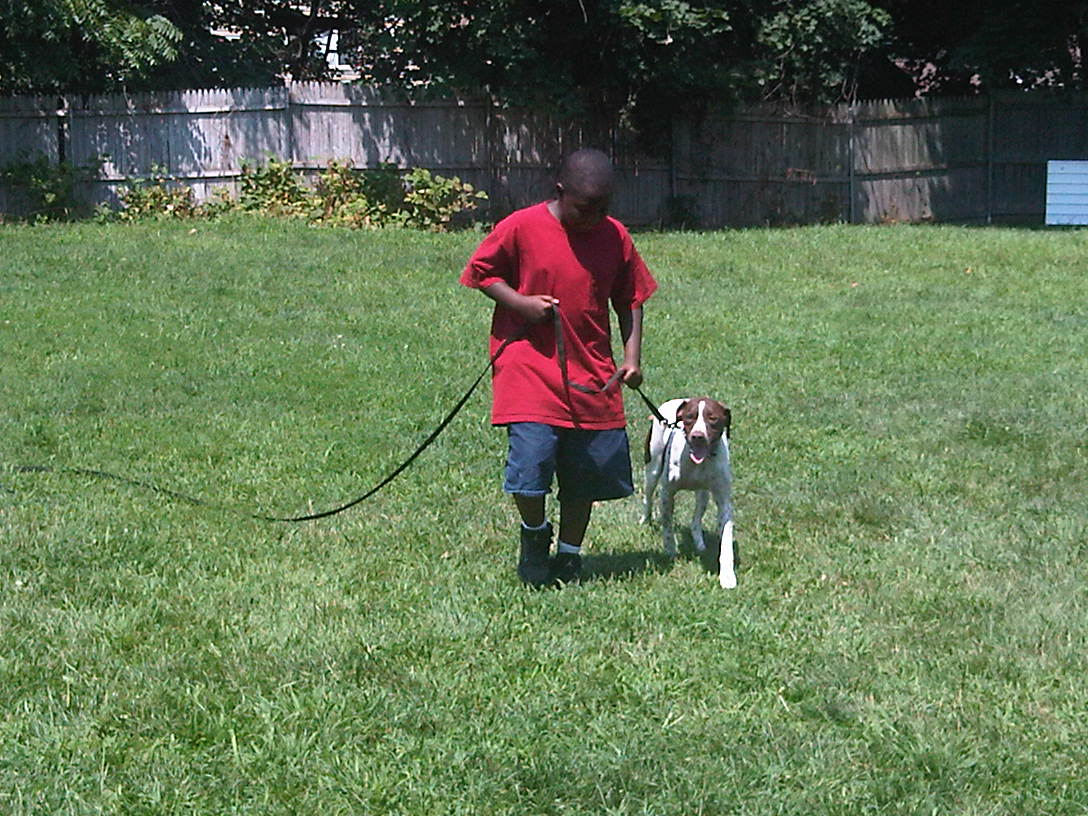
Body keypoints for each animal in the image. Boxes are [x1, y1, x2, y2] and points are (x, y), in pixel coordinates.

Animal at [639, 398, 735, 583]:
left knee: (696, 519)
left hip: (703, 493)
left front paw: (727, 576)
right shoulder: (667, 494)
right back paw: (645, 519)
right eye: (689, 417)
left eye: (713, 418)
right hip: (652, 468)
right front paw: (670, 550)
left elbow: (726, 538)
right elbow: (667, 526)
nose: (697, 436)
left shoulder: (723, 500)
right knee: (648, 496)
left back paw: (699, 542)